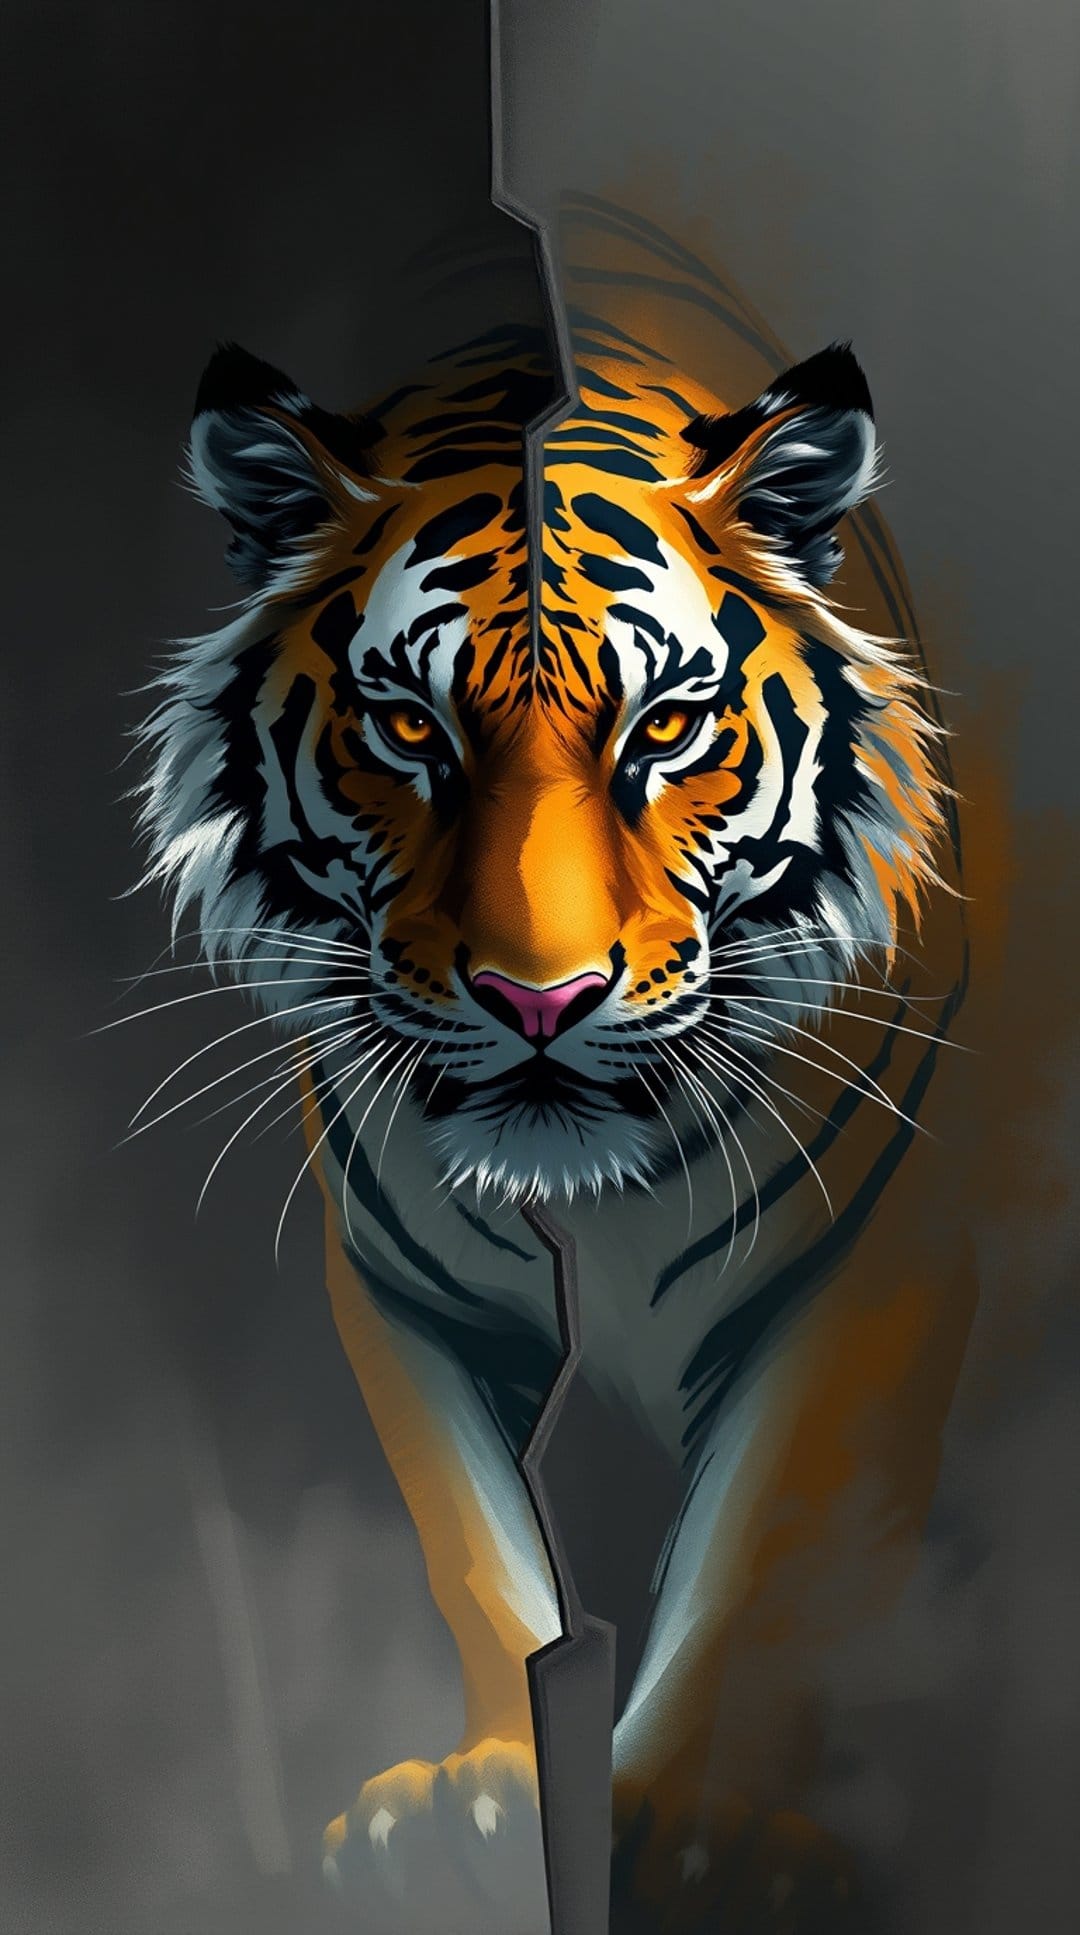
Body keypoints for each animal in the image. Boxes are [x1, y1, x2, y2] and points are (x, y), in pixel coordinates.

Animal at [135, 197, 970, 1933]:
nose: (542, 996)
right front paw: (481, 1804)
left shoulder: (874, 1257)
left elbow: (773, 1534)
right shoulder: (405, 1293)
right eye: (408, 730)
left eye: (663, 727)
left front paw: (708, 1822)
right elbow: (480, 1552)